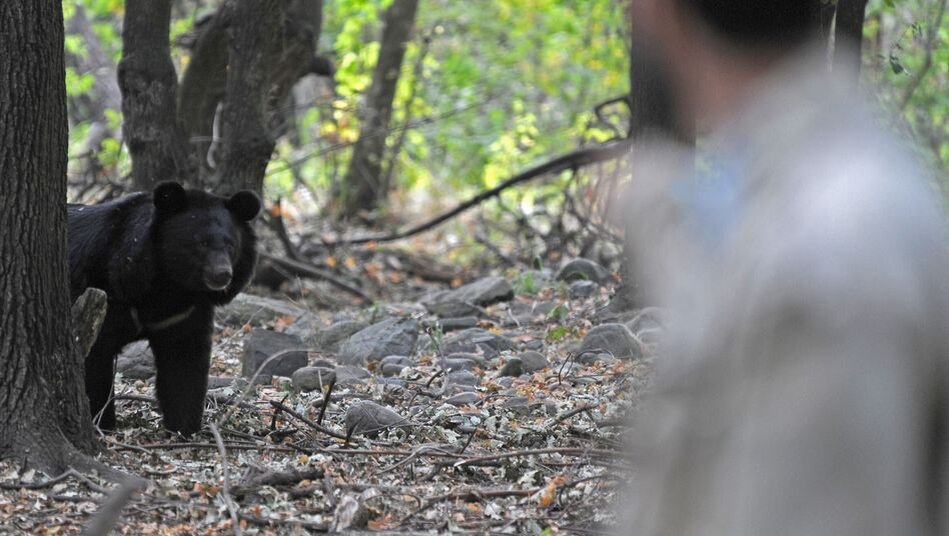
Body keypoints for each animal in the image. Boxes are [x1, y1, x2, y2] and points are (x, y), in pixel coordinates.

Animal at [67, 182, 262, 434]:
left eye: (230, 244)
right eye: (201, 243)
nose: (223, 274)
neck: (170, 283)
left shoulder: (183, 314)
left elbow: (183, 364)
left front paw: (184, 428)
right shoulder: (104, 291)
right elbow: (94, 359)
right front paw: (102, 422)